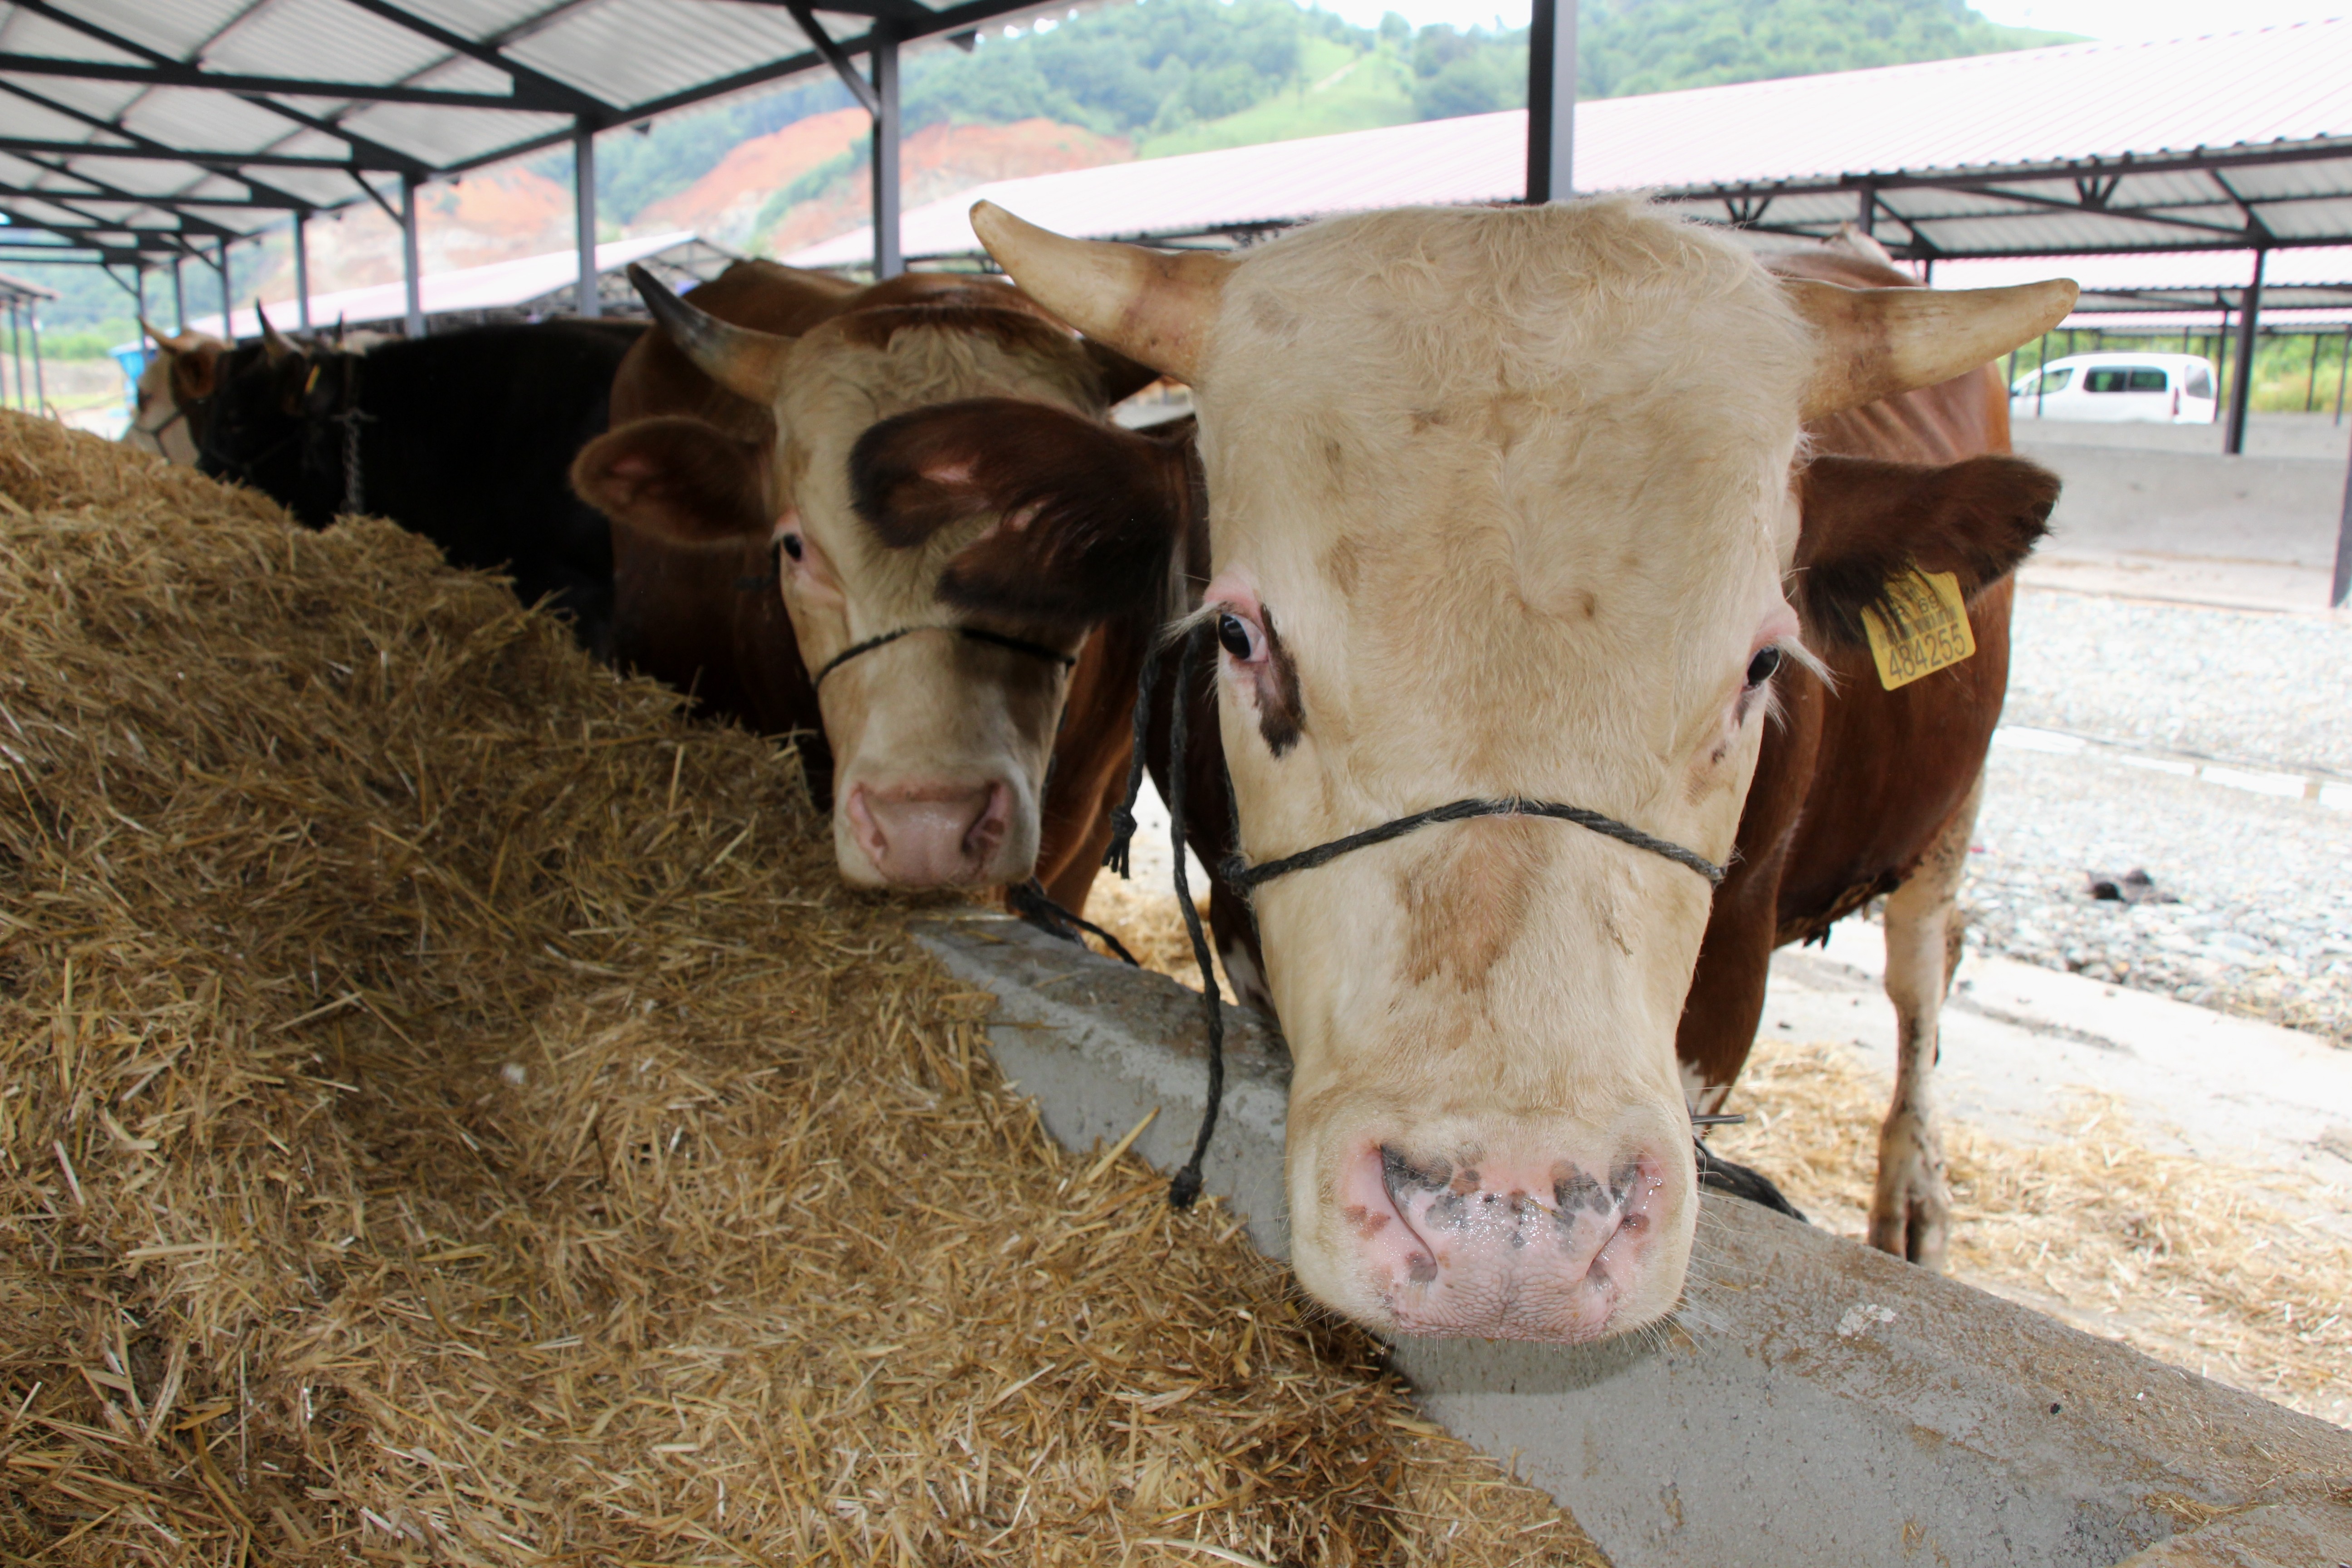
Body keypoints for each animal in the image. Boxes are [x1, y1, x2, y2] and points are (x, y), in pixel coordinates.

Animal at [875, 196, 2069, 1344]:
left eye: (1764, 661)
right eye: (1237, 635)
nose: (1512, 1229)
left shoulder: (1730, 982)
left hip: (1950, 811)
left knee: (1923, 965)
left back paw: (1914, 1199)